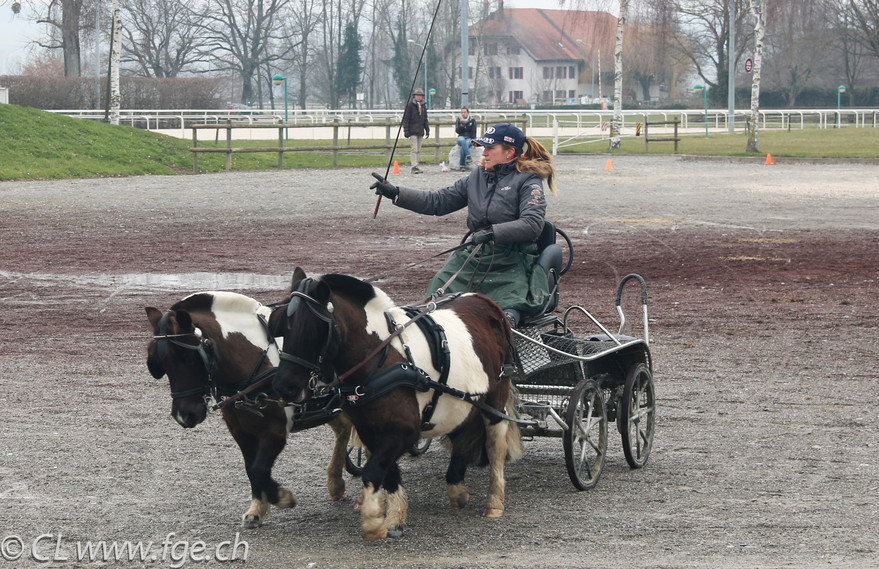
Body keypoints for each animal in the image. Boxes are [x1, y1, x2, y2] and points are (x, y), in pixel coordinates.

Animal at [145, 290, 352, 528]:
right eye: (160, 362)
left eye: (189, 358)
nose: (183, 415)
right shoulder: (240, 431)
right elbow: (250, 469)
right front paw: (257, 510)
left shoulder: (276, 431)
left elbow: (259, 469)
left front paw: (281, 497)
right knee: (344, 429)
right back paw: (336, 481)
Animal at [268, 267, 523, 541]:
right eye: (281, 327)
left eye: (313, 329)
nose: (283, 386)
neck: (380, 359)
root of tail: (485, 300)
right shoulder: (370, 429)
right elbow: (386, 472)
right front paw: (394, 518)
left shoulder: (405, 432)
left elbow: (372, 470)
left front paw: (373, 520)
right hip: (464, 401)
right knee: (462, 433)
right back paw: (456, 487)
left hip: (496, 396)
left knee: (495, 443)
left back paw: (494, 501)